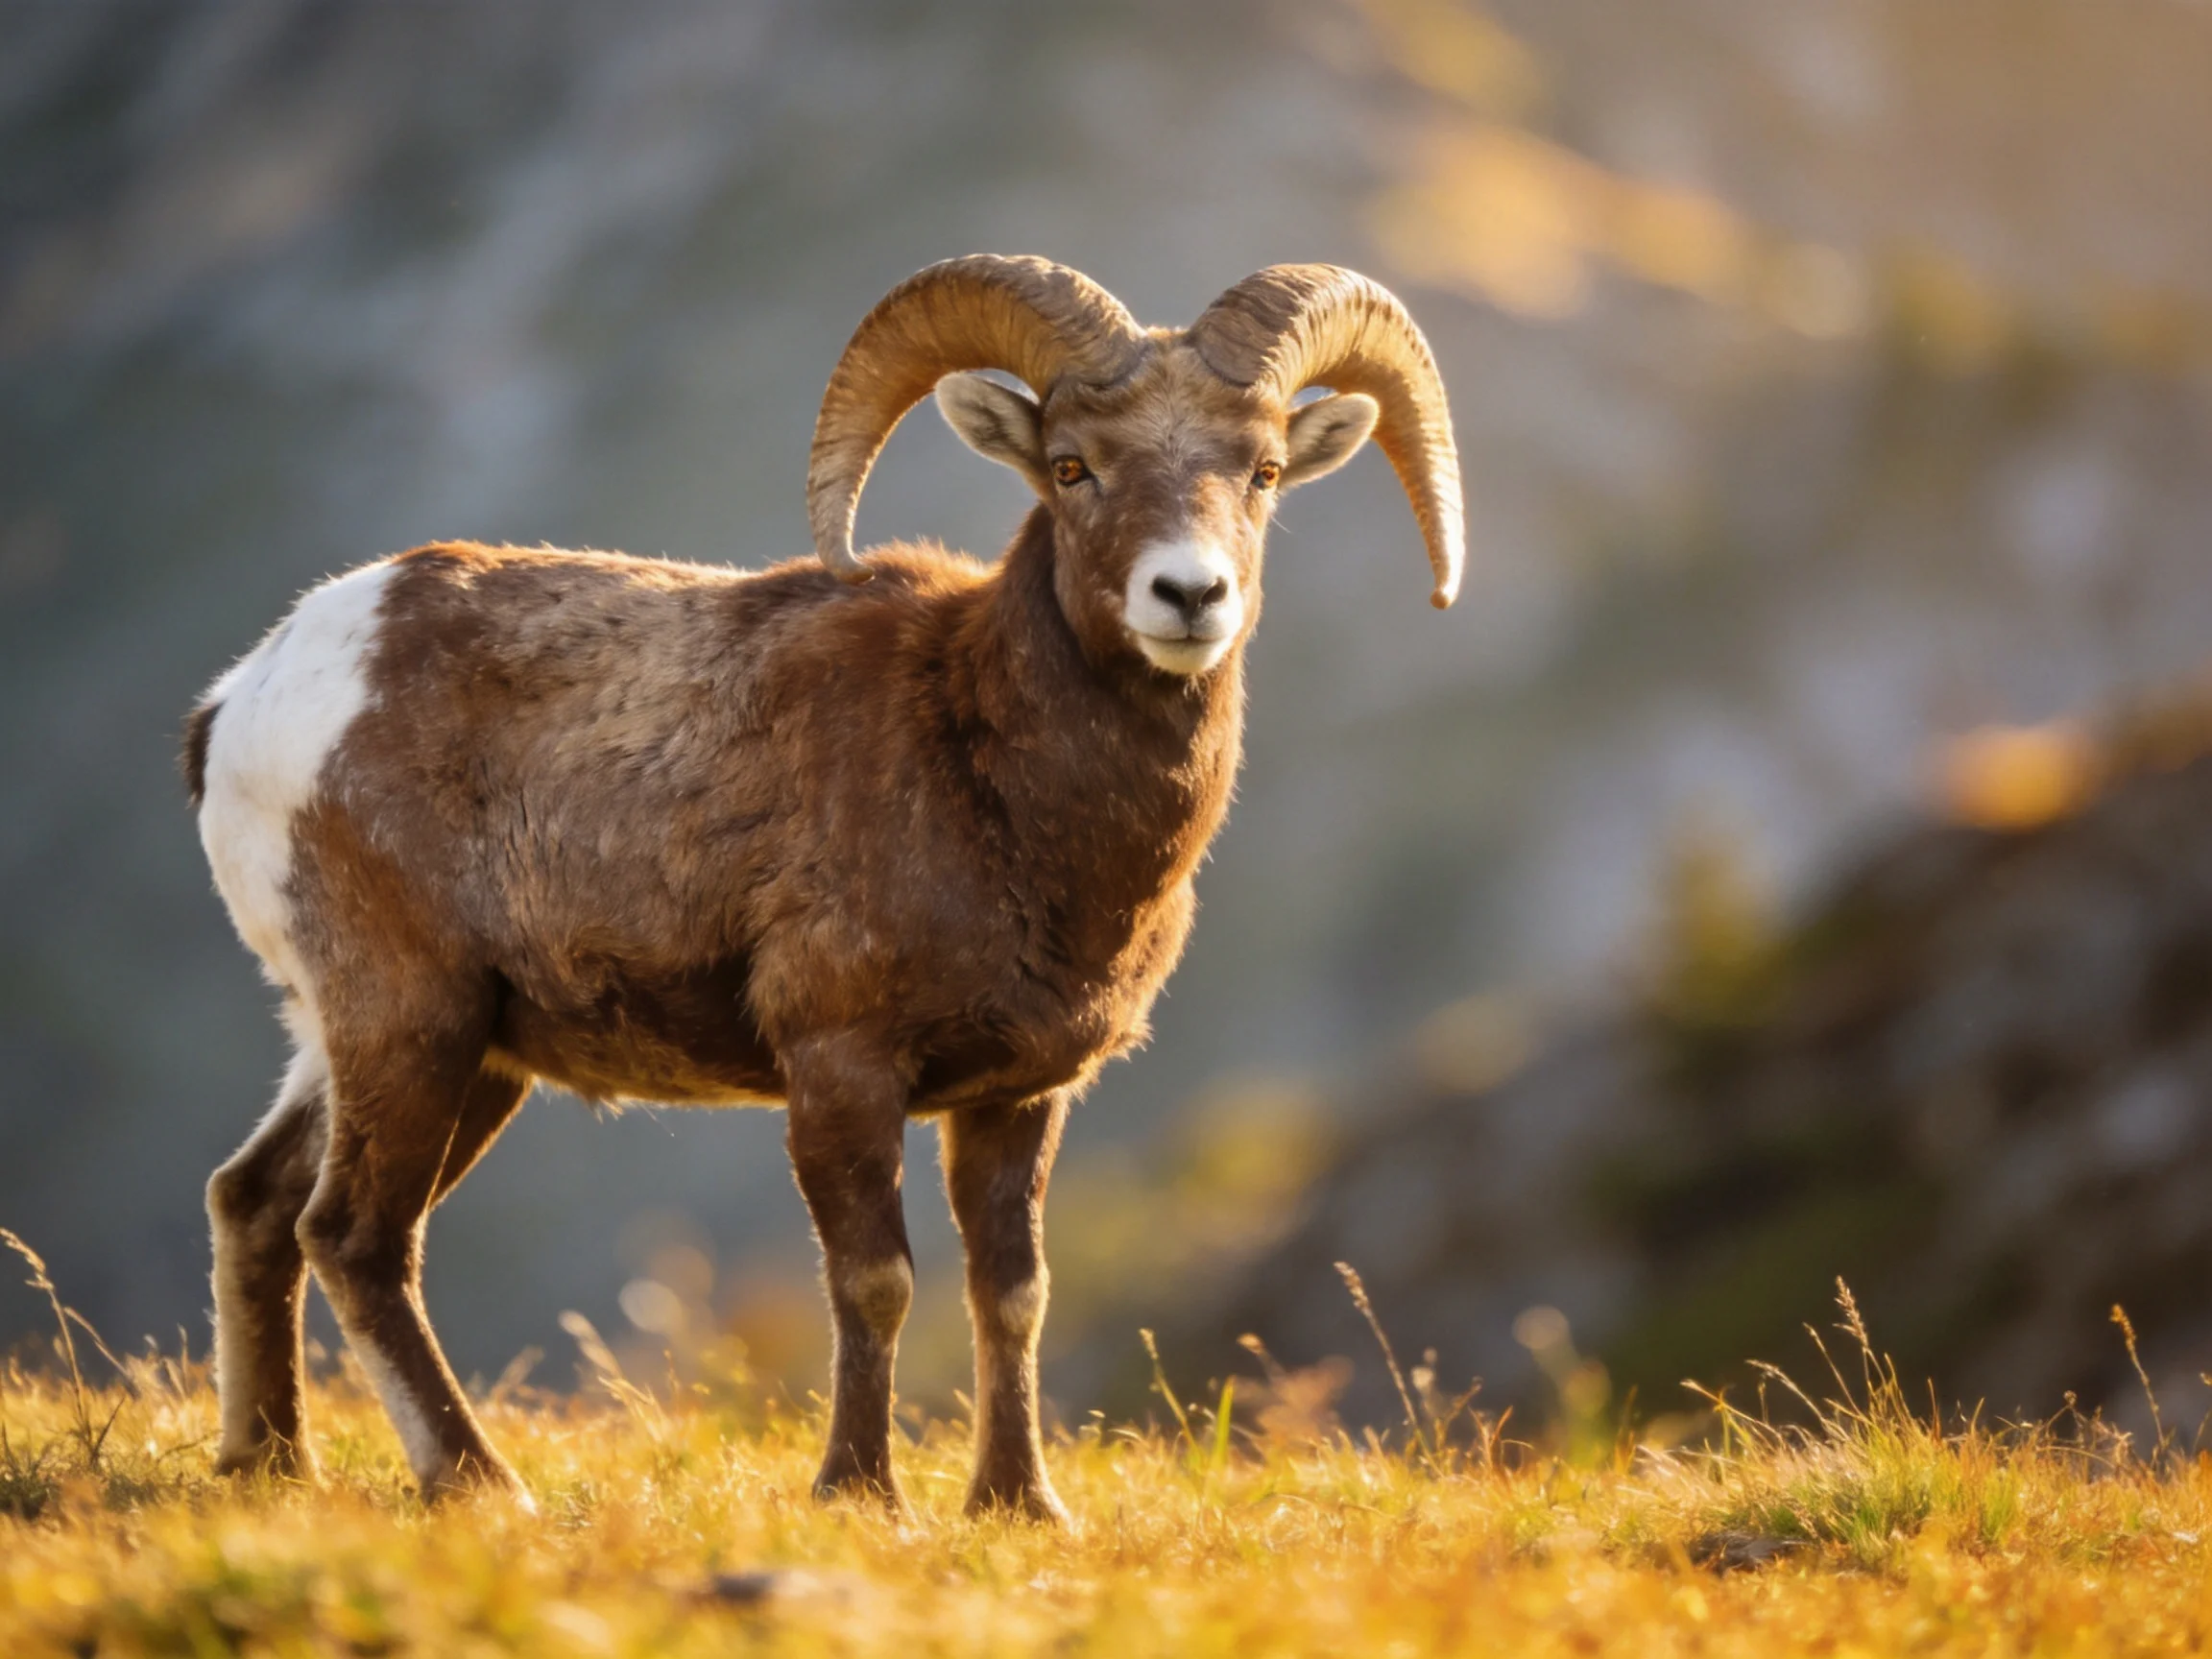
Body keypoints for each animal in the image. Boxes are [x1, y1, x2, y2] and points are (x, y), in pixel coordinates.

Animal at [185, 255, 1464, 1521]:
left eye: (1262, 471)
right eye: (1072, 466)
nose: (1188, 597)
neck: (984, 769)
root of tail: (253, 692)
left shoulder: (1019, 1098)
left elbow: (1014, 1293)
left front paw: (1019, 1504)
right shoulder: (841, 1067)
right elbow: (875, 1280)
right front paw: (860, 1492)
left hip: (429, 1053)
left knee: (257, 1202)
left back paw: (271, 1465)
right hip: (414, 1024)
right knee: (354, 1235)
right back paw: (479, 1483)